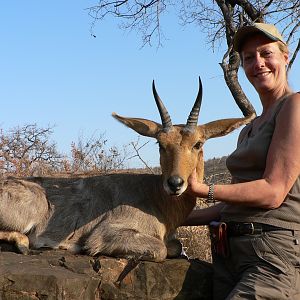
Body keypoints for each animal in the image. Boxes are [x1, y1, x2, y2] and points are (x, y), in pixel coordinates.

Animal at [0, 78, 253, 262]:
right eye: (160, 143)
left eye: (198, 144)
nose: (175, 183)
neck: (157, 199)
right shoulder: (109, 232)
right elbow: (160, 249)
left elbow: (175, 246)